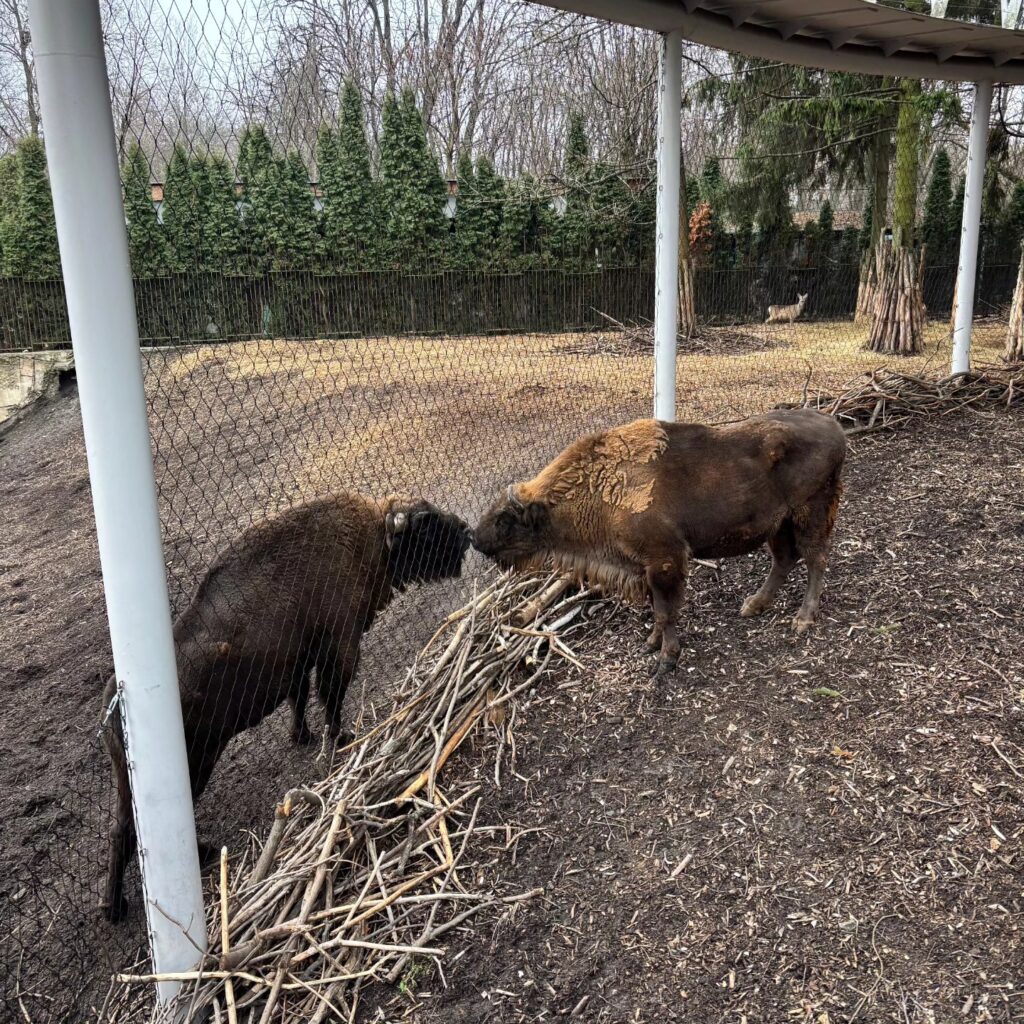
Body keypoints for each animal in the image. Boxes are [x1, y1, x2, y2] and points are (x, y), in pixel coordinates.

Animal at [101, 491, 468, 925]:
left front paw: (302, 735)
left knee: (121, 831)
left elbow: (300, 696)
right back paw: (150, 887)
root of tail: (116, 704)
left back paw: (115, 904)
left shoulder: (302, 660)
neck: (373, 536)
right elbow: (330, 696)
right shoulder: (340, 647)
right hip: (194, 762)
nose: (465, 531)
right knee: (147, 829)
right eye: (426, 523)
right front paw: (339, 736)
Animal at [475, 411, 843, 675]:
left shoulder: (664, 562)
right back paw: (753, 605)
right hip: (777, 525)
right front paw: (651, 644)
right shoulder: (645, 567)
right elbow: (656, 608)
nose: (476, 540)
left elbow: (666, 611)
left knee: (815, 560)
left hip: (810, 514)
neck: (600, 486)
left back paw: (803, 619)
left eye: (505, 520)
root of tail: (834, 425)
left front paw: (666, 660)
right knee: (784, 560)